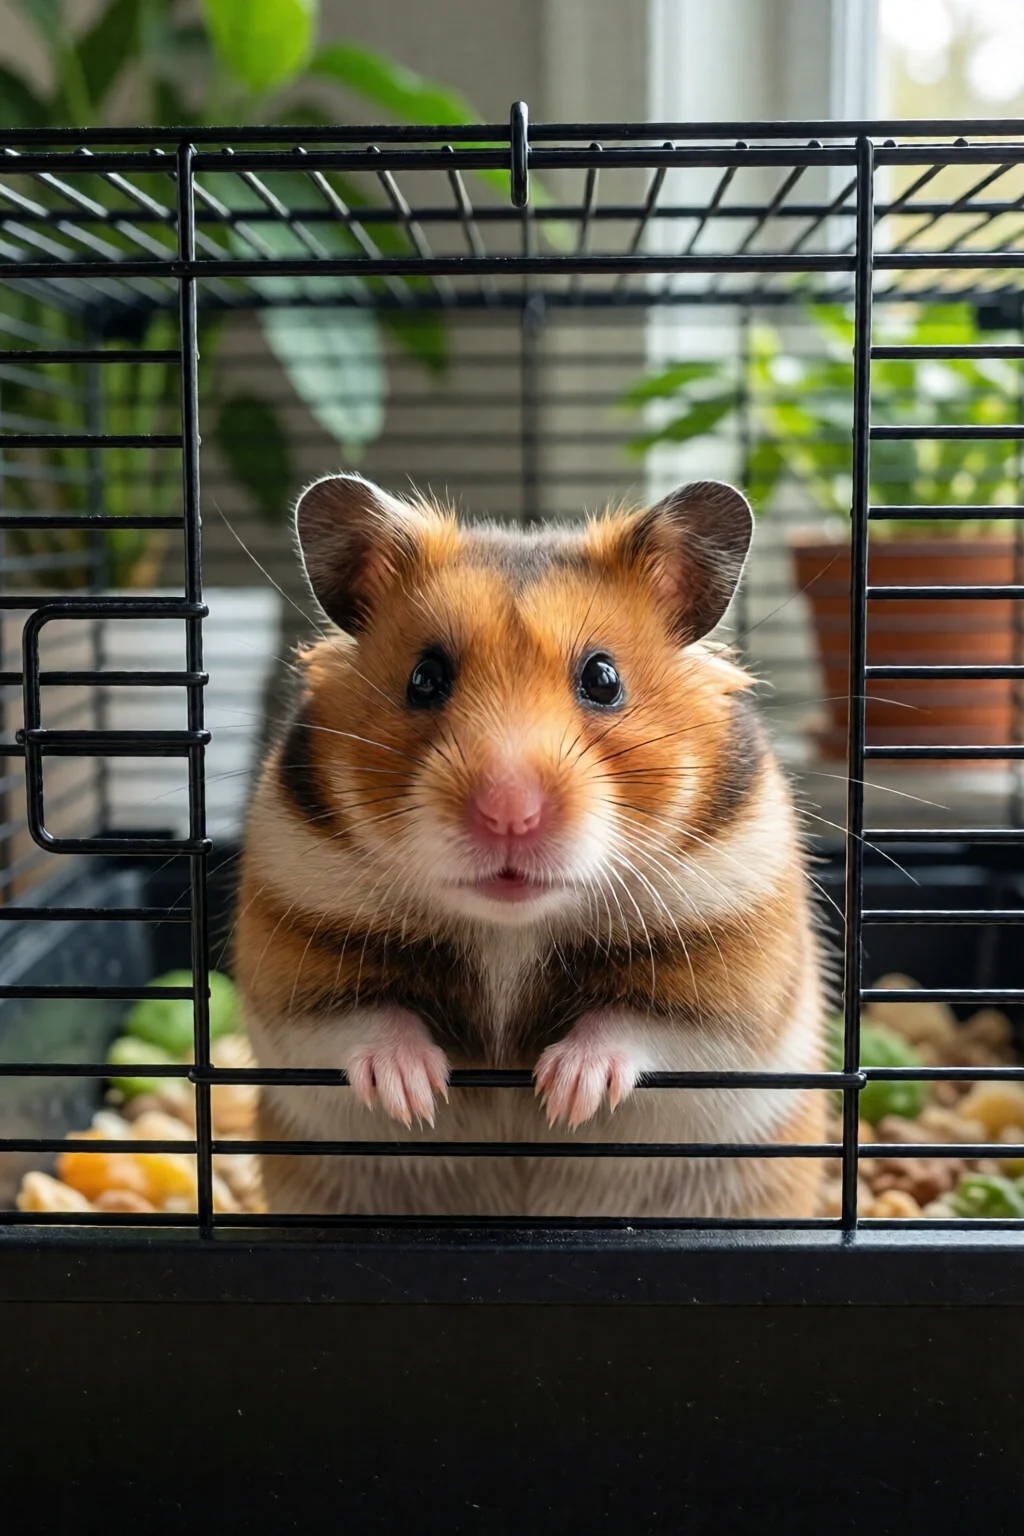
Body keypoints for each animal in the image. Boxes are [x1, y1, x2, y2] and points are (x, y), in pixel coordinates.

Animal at [236, 473, 825, 1219]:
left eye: (603, 679)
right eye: (424, 678)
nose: (509, 815)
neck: (510, 929)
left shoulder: (733, 969)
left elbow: (636, 1025)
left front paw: (564, 1094)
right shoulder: (292, 954)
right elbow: (363, 1020)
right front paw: (416, 1096)